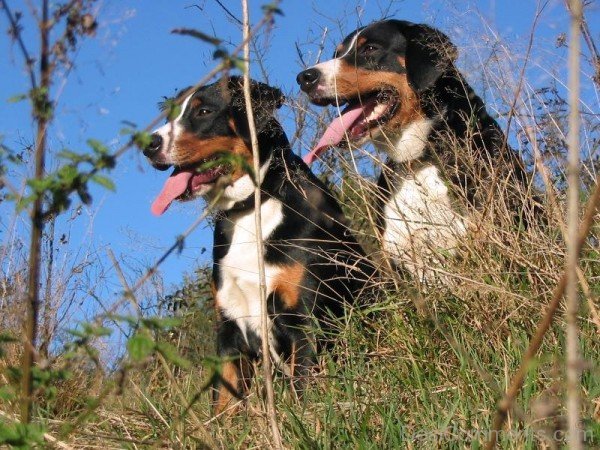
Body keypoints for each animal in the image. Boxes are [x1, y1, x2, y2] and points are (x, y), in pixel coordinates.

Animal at [142, 77, 372, 414]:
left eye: (204, 111)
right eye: (171, 114)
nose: (149, 144)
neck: (251, 207)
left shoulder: (307, 323)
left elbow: (305, 393)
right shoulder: (229, 331)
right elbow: (223, 405)